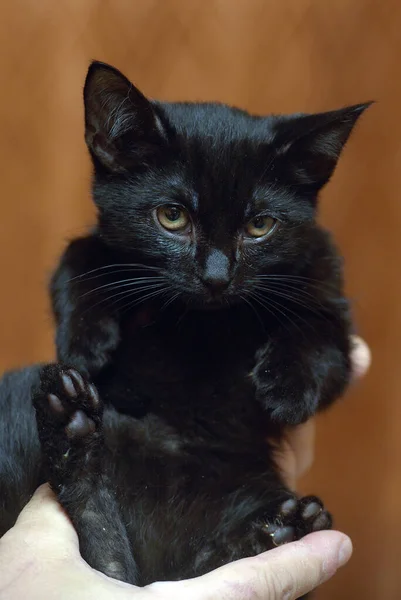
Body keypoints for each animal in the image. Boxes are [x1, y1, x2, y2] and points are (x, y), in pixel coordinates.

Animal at [0, 62, 368, 584]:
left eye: (260, 226)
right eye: (171, 217)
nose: (216, 276)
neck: (201, 325)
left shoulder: (326, 285)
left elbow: (322, 341)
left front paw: (287, 388)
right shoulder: (102, 245)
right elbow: (78, 259)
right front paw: (86, 339)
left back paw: (277, 531)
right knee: (110, 557)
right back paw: (69, 424)